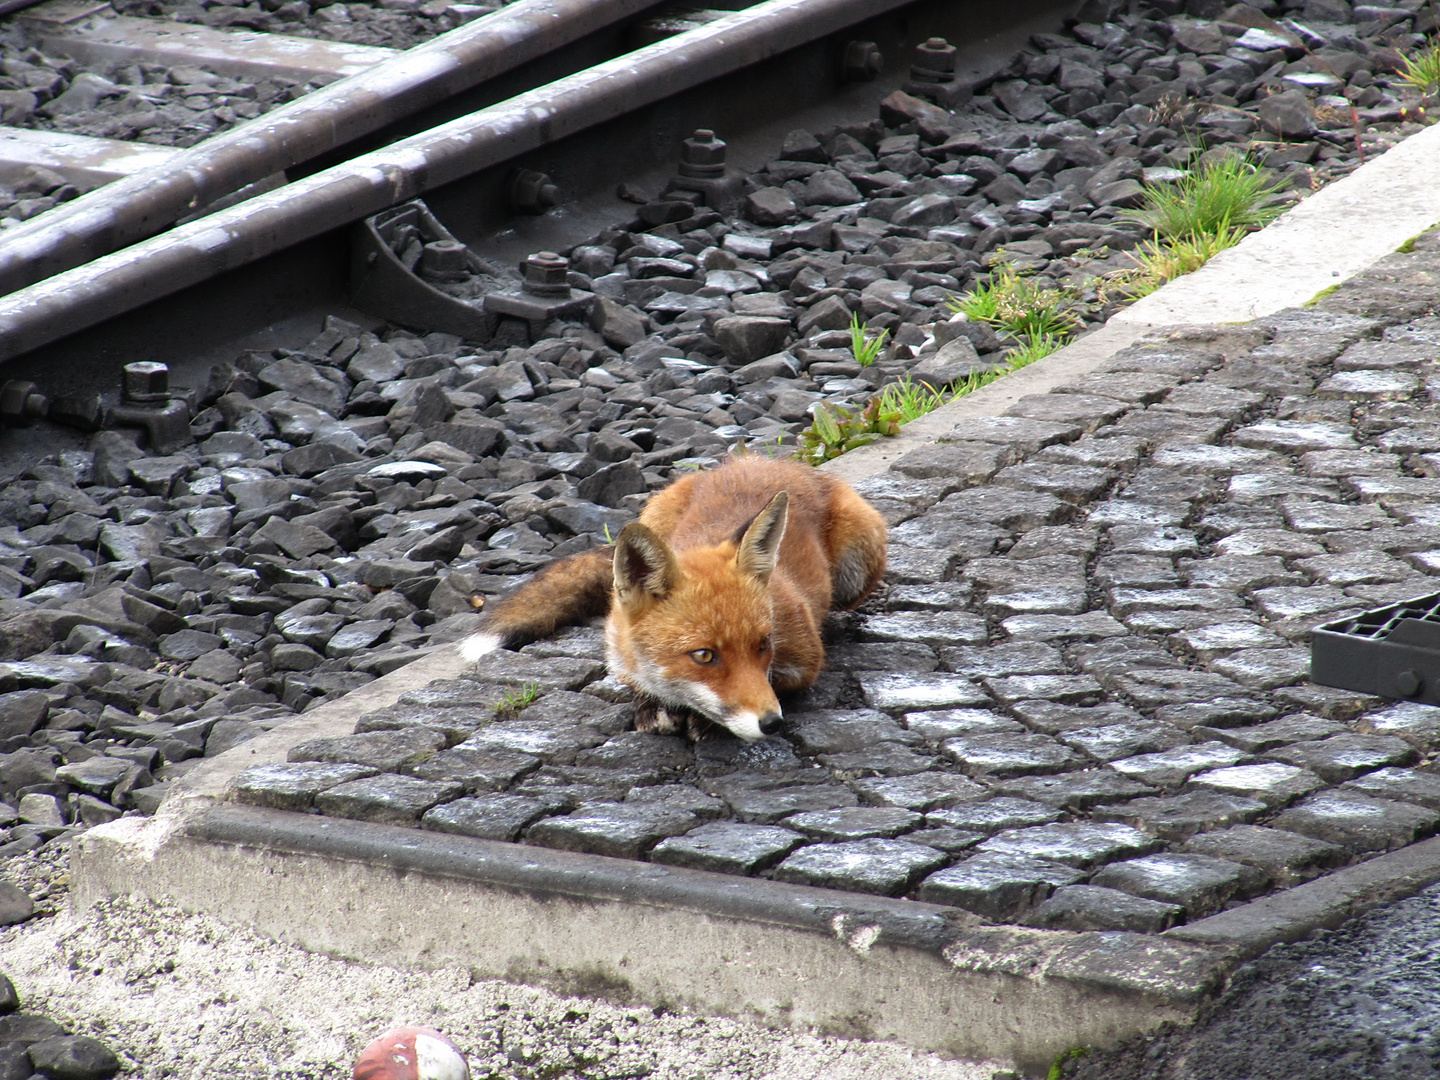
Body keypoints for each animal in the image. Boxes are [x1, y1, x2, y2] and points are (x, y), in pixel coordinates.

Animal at [460, 457, 887, 743]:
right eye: (704, 655)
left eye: (764, 644)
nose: (772, 724)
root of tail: (766, 459)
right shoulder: (620, 654)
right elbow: (640, 688)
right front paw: (653, 707)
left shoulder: (804, 661)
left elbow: (778, 683)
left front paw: (704, 721)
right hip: (652, 512)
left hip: (857, 568)